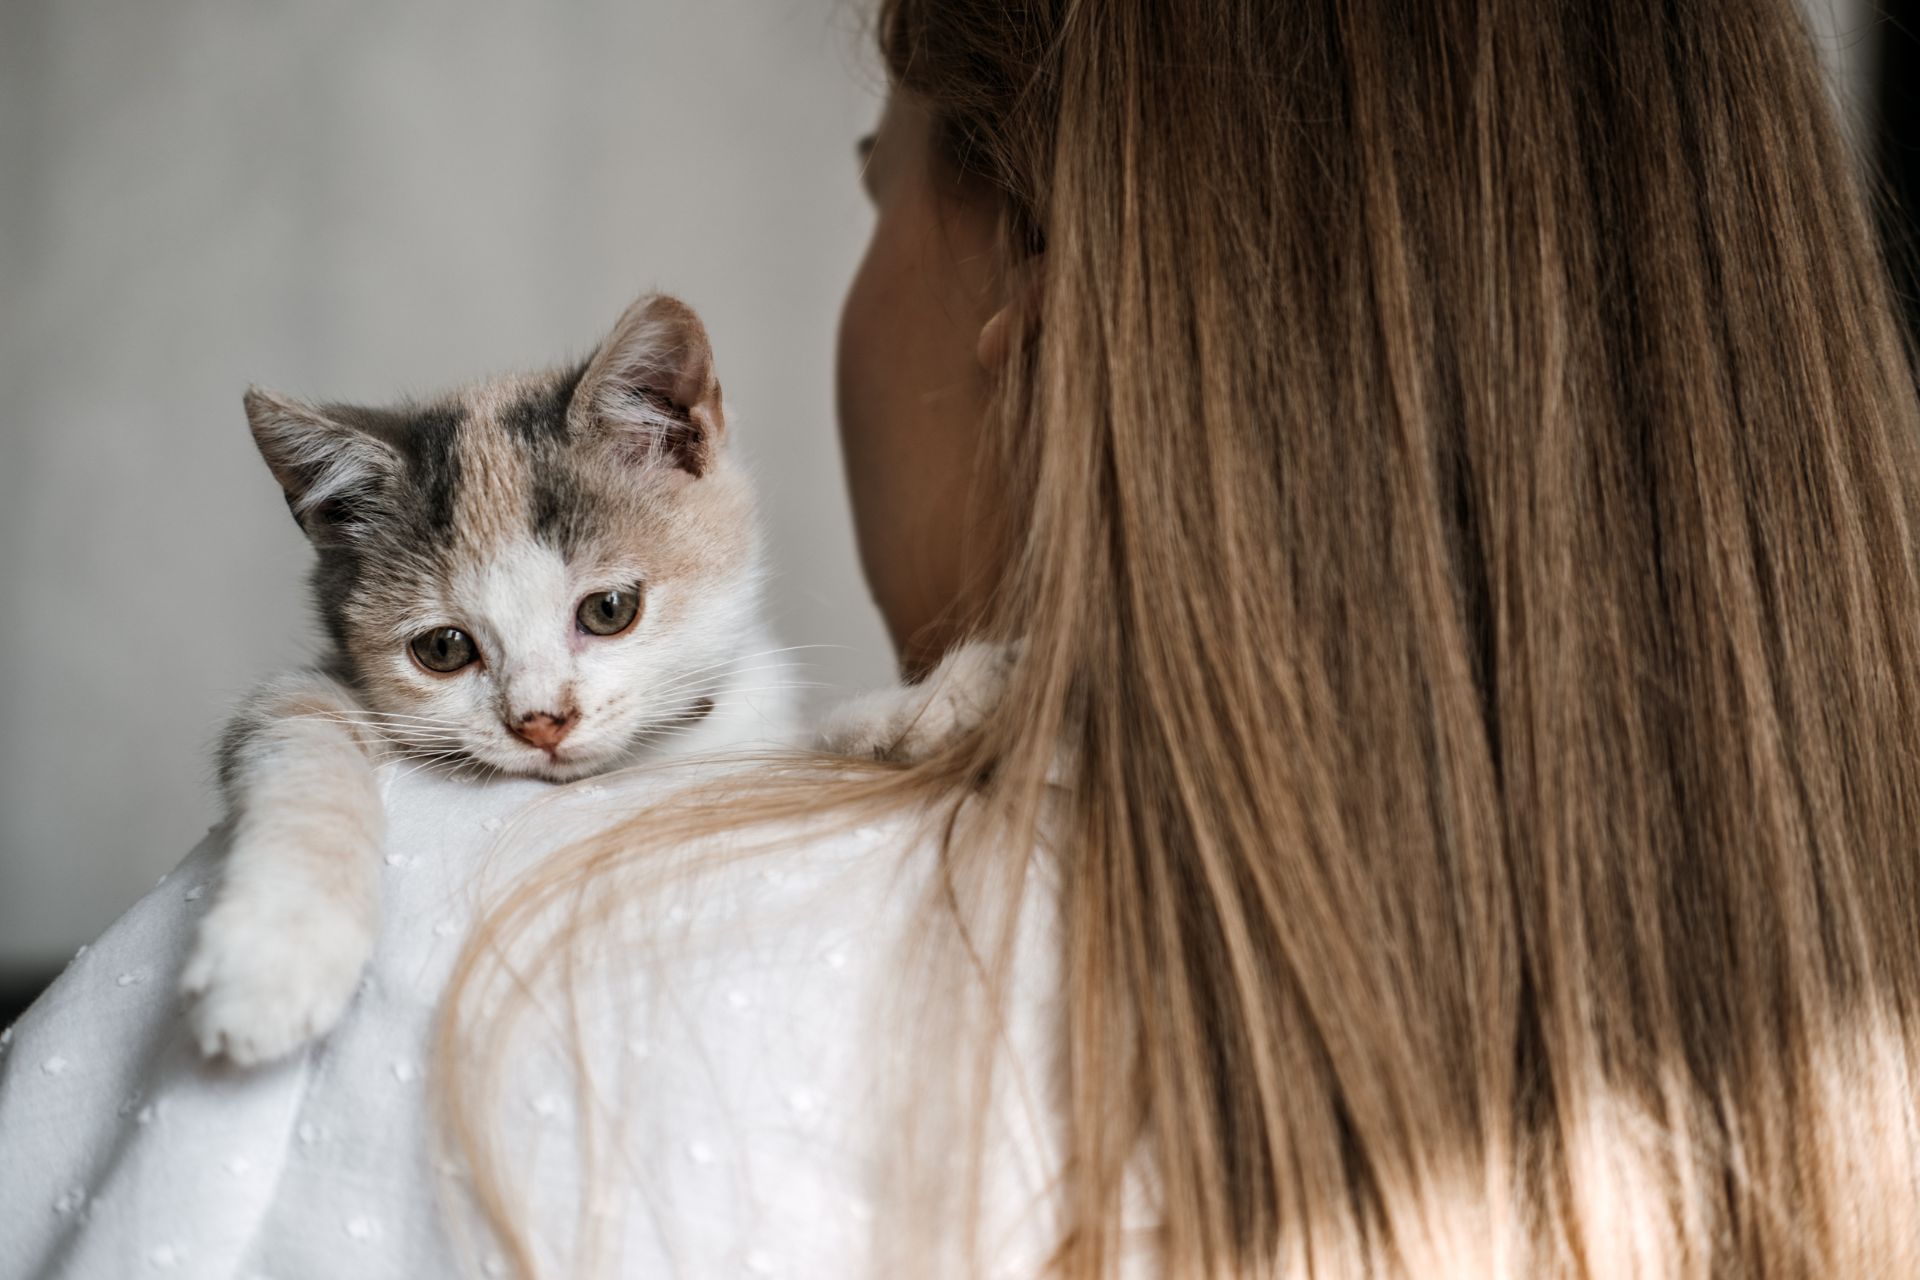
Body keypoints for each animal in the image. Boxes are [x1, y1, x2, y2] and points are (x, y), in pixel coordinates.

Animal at [183, 295, 798, 1066]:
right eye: (444, 648)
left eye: (609, 610)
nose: (541, 721)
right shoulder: (308, 698)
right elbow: (294, 730)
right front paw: (274, 952)